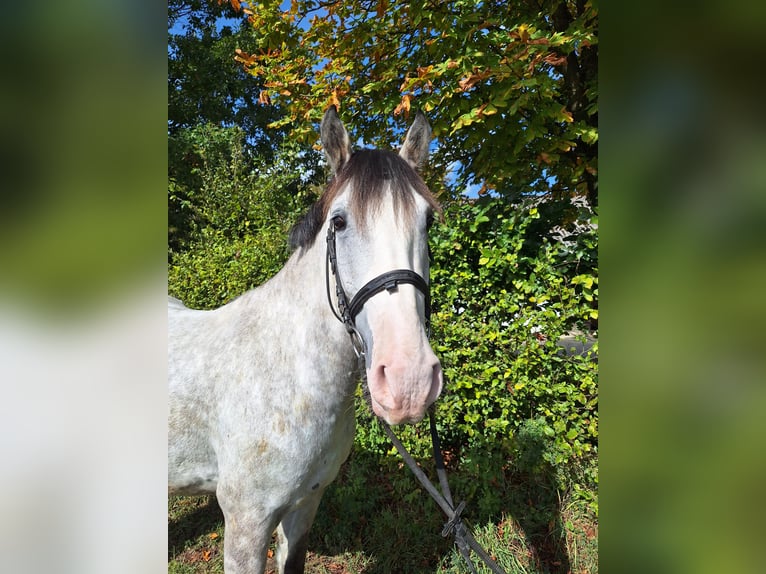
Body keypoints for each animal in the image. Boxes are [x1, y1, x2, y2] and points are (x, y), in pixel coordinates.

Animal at [168, 108, 444, 574]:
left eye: (428, 221)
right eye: (339, 222)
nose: (409, 382)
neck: (289, 379)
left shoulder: (305, 506)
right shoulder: (246, 523)